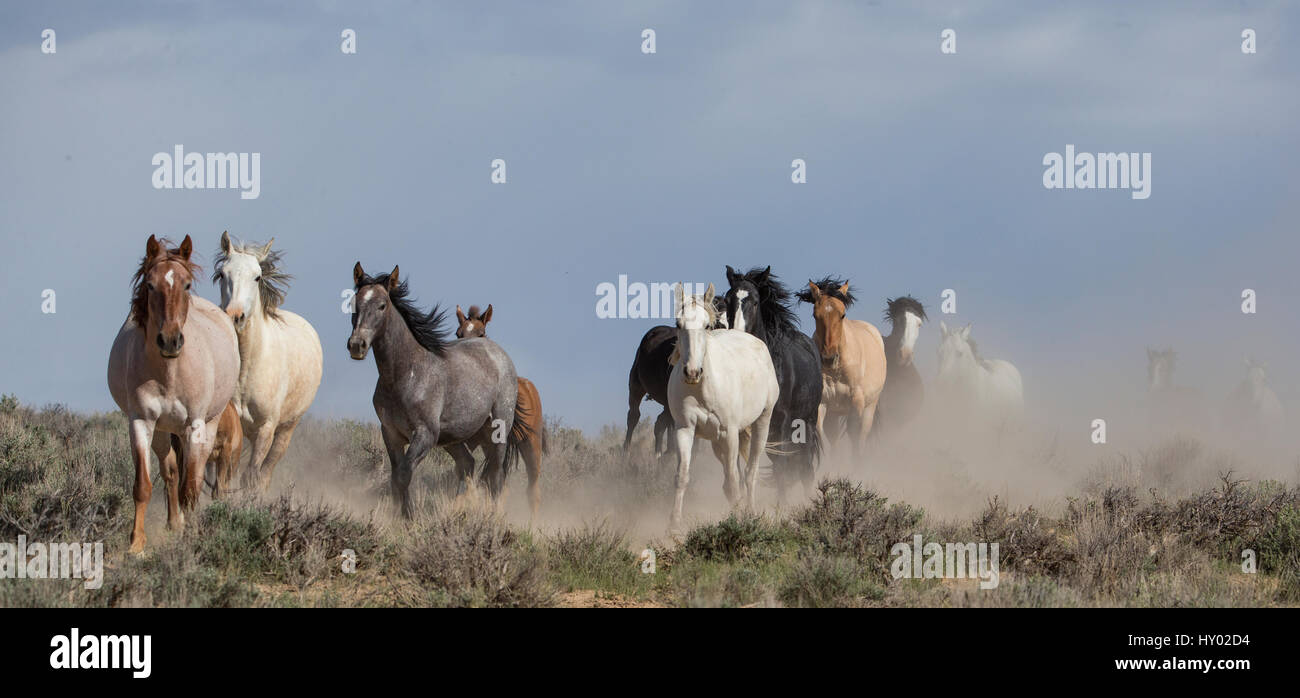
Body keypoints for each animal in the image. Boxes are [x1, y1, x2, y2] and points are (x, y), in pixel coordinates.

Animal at [213, 232, 322, 488]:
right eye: (222, 274)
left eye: (257, 277)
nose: (235, 316)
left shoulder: (266, 428)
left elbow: (251, 476)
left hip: (285, 430)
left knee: (265, 474)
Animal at [351, 263, 527, 514]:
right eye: (354, 303)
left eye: (382, 305)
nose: (356, 345)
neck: (406, 373)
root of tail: (498, 353)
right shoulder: (391, 434)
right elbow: (395, 479)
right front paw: (398, 517)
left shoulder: (425, 434)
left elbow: (404, 474)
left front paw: (409, 517)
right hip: (453, 438)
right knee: (467, 463)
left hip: (497, 430)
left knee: (496, 475)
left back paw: (493, 516)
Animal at [670, 283, 769, 527]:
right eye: (678, 324)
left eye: (706, 325)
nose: (692, 372)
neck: (703, 389)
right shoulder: (684, 429)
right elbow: (682, 476)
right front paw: (674, 525)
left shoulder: (729, 432)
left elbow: (734, 481)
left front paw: (739, 521)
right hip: (716, 442)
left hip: (762, 421)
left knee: (750, 473)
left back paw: (751, 511)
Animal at [722, 263, 821, 499]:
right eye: (727, 300)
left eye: (755, 301)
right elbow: (738, 469)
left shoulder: (782, 421)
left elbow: (782, 468)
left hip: (806, 422)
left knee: (805, 467)